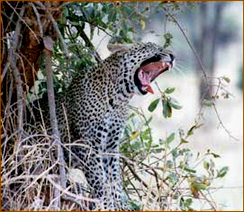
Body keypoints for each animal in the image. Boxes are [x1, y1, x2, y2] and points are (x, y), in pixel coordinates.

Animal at [30, 42, 175, 210]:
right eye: (152, 47)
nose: (173, 56)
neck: (120, 97)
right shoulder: (88, 145)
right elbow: (99, 180)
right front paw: (106, 205)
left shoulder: (110, 147)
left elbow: (114, 179)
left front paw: (121, 205)